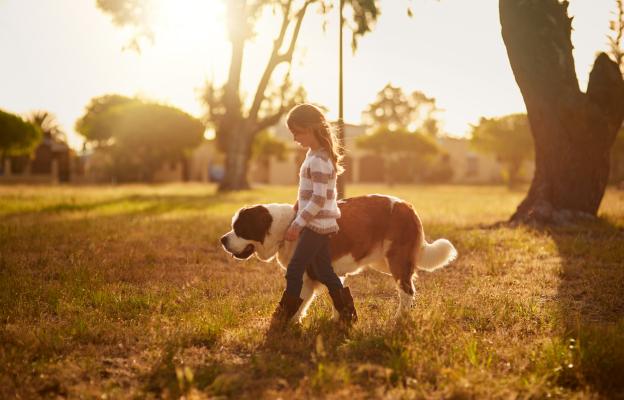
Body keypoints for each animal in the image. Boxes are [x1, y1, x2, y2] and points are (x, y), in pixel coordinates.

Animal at [222, 193, 456, 322]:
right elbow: (334, 295)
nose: (223, 240)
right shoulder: (327, 272)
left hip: (396, 260)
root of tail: (408, 206)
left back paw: (399, 319)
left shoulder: (306, 275)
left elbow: (299, 300)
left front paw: (285, 323)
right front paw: (339, 320)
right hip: (384, 261)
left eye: (240, 229)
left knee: (407, 291)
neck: (287, 226)